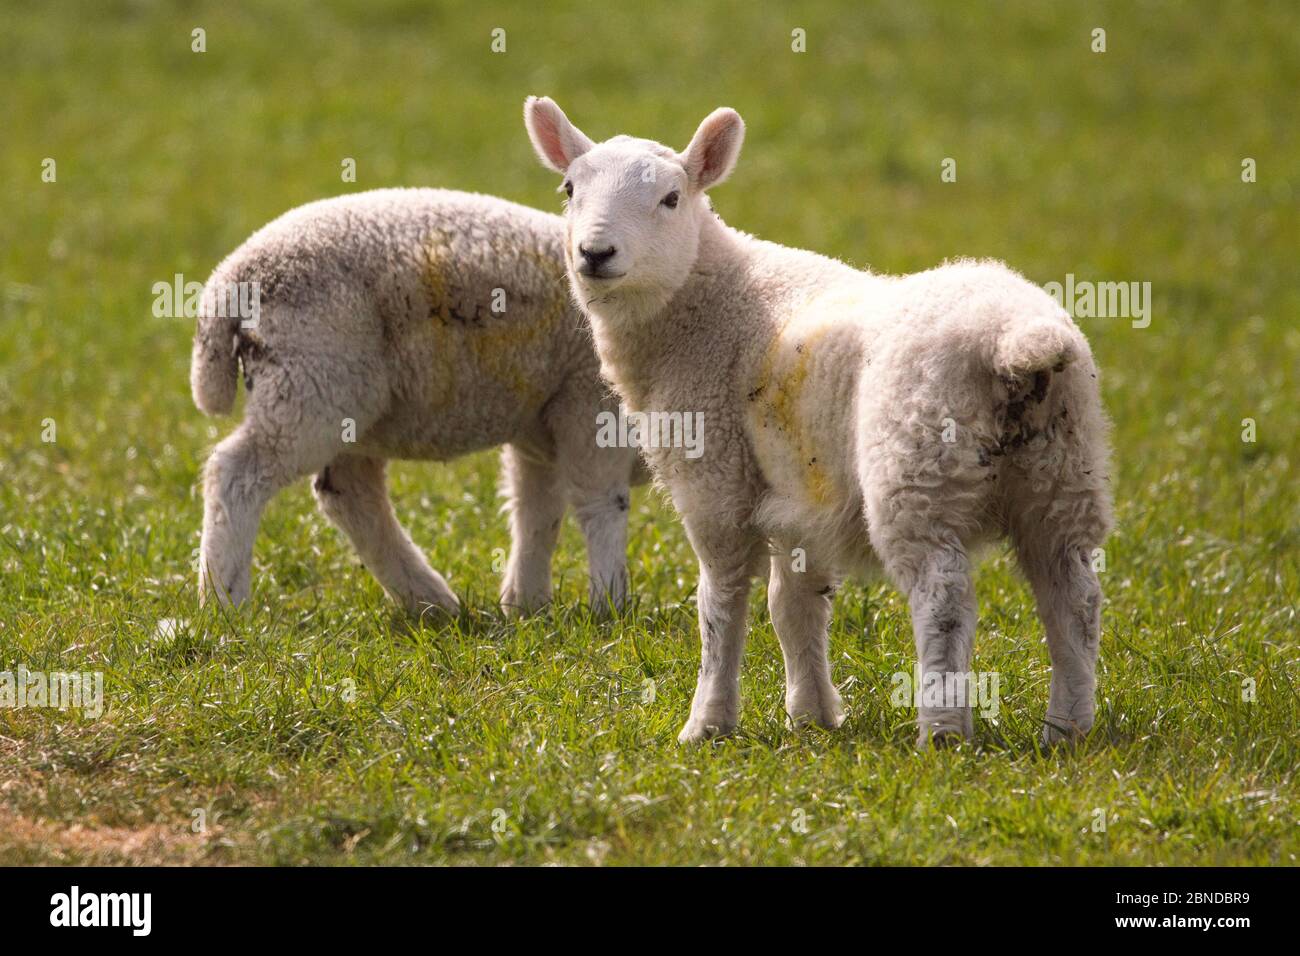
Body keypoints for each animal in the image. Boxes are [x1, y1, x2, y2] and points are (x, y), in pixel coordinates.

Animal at [191, 188, 639, 613]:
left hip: (347, 398)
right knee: (237, 473)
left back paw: (431, 602)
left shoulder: (540, 422)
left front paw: (526, 605)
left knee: (349, 493)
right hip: (313, 382)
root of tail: (230, 280)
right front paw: (609, 608)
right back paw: (225, 604)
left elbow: (536, 513)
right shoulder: (588, 402)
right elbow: (600, 503)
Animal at [522, 97, 1112, 749]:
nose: (595, 254)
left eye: (671, 199)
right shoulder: (800, 495)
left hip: (918, 472)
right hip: (1062, 471)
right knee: (1073, 598)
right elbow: (793, 606)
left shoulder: (716, 481)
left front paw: (708, 723)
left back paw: (941, 733)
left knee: (943, 599)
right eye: (569, 189)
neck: (705, 307)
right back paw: (1067, 728)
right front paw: (811, 716)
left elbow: (719, 603)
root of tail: (1014, 340)